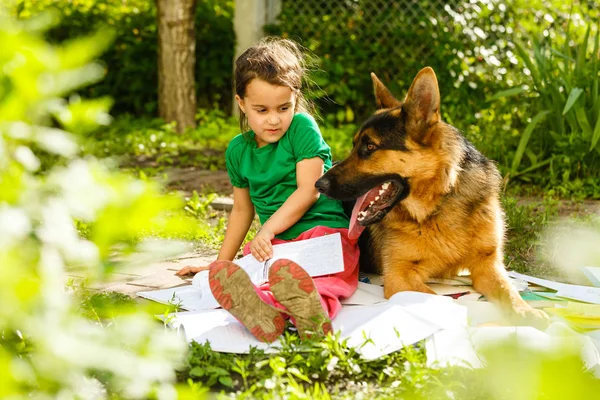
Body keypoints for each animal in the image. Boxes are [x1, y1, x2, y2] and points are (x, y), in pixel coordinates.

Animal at [318, 67, 548, 326]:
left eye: (369, 147)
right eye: (355, 144)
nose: (318, 184)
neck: (437, 206)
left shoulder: (487, 265)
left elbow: (510, 292)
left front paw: (527, 312)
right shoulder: (399, 275)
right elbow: (445, 301)